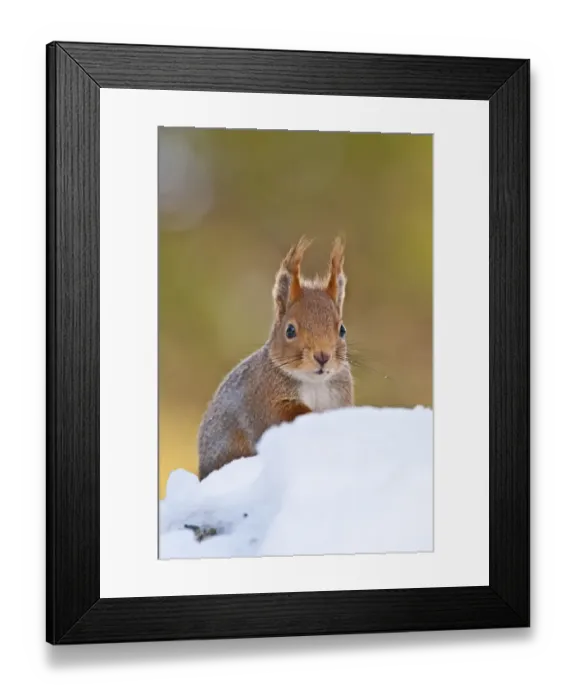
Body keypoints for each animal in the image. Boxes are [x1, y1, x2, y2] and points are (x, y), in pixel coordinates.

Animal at [197, 237, 354, 481]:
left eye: (342, 330)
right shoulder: (265, 398)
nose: (323, 356)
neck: (314, 383)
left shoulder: (341, 395)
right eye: (290, 331)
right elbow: (284, 417)